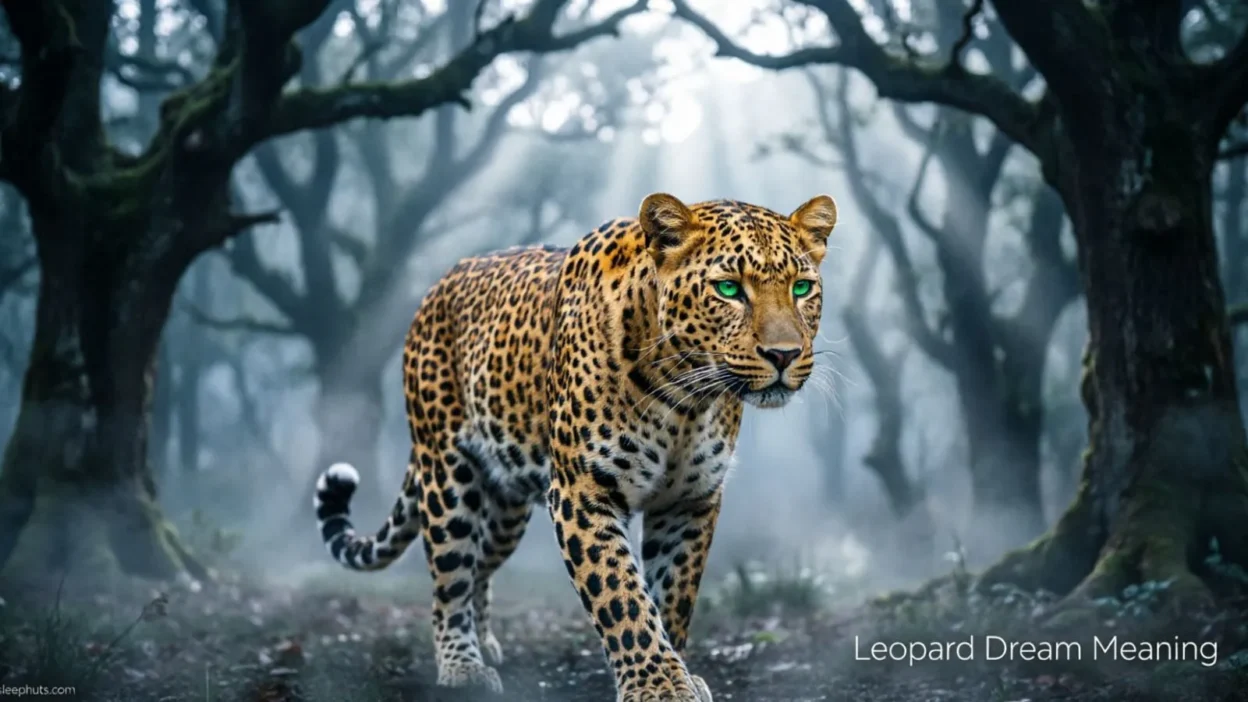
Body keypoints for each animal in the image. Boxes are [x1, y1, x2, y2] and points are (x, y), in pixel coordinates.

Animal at [312, 192, 838, 701]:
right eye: (728, 289)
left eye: (801, 288)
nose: (783, 355)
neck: (684, 399)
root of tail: (439, 284)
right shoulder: (582, 493)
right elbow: (622, 596)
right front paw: (658, 686)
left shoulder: (689, 501)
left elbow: (671, 596)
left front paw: (682, 675)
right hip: (448, 474)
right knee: (450, 575)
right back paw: (462, 666)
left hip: (506, 508)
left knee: (481, 566)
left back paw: (486, 644)